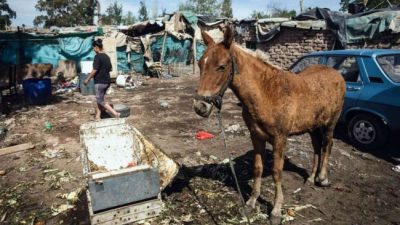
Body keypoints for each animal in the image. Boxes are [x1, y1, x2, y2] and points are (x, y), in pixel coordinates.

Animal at [192, 25, 346, 223]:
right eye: (200, 64)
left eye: (221, 66)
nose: (200, 107)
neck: (266, 93)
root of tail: (337, 74)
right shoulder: (256, 136)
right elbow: (258, 168)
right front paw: (251, 203)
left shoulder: (280, 139)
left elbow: (276, 172)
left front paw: (276, 210)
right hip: (313, 127)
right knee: (317, 148)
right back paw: (311, 178)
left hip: (329, 124)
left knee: (327, 145)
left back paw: (323, 178)